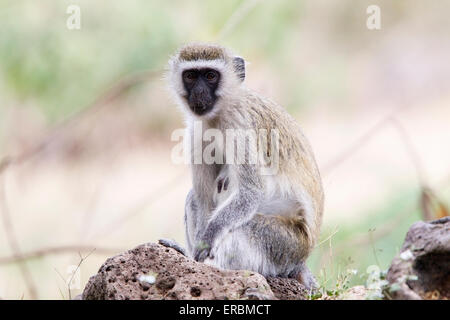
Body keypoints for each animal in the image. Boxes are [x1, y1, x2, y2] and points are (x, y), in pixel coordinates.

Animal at [162, 43, 324, 290]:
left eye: (210, 76)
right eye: (190, 76)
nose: (198, 93)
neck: (218, 115)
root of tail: (302, 258)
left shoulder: (238, 125)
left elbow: (250, 192)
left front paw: (206, 241)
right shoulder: (197, 131)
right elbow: (203, 197)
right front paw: (195, 251)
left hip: (288, 245)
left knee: (244, 229)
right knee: (194, 198)